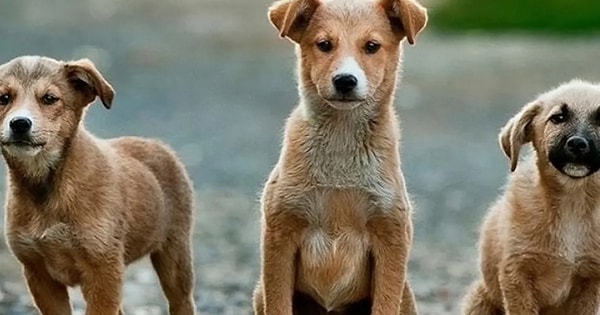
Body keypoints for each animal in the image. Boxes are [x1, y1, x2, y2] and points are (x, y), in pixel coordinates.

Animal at [0, 56, 197, 315]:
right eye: (4, 98)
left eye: (49, 99)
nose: (20, 124)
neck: (48, 186)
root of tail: (158, 145)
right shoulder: (38, 272)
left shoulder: (103, 268)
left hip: (175, 256)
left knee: (182, 301)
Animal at [252, 0, 426, 314]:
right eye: (324, 44)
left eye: (371, 46)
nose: (345, 81)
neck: (341, 143)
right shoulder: (280, 233)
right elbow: (279, 303)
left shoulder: (391, 235)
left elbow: (385, 303)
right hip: (260, 290)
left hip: (407, 295)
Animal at [464, 79, 600, 315]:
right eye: (558, 118)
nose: (577, 144)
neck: (572, 203)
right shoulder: (517, 275)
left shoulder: (591, 280)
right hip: (478, 300)